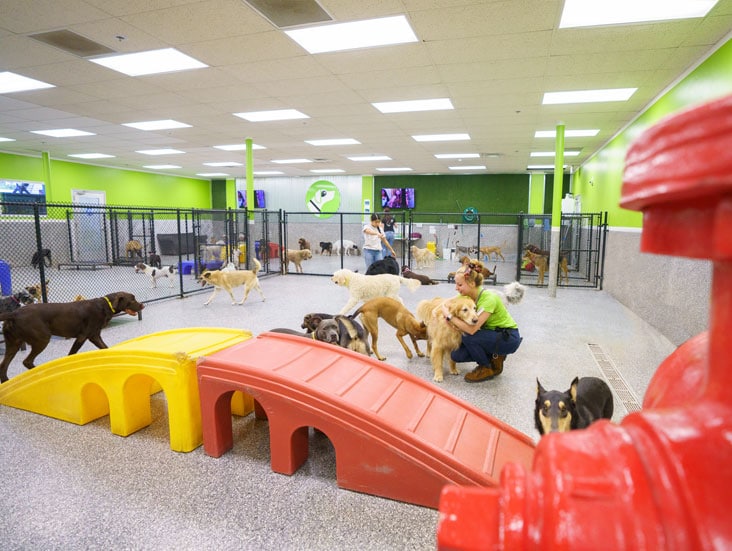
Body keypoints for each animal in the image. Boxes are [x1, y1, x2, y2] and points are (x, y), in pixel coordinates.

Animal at [0, 294, 144, 384]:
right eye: (132, 299)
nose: (142, 305)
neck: (104, 305)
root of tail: (14, 313)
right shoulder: (83, 337)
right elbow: (71, 354)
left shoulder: (95, 336)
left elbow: (105, 348)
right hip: (42, 339)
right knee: (27, 361)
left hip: (13, 344)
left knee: (4, 365)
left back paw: (6, 381)